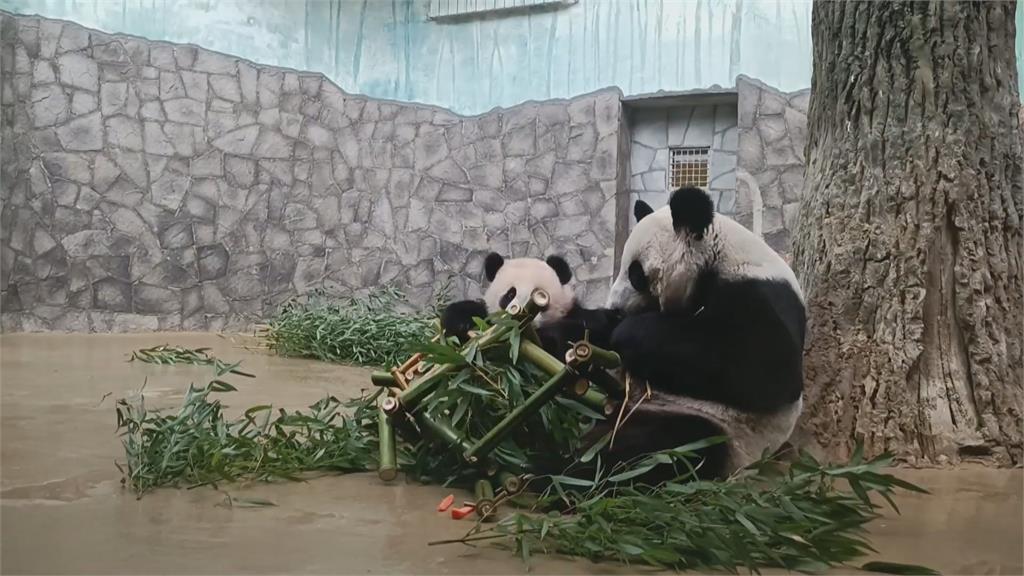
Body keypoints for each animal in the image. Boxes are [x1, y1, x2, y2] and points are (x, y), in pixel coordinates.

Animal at [593, 186, 806, 477]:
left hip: (716, 428)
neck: (718, 257)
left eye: (636, 275)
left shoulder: (760, 292)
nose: (614, 307)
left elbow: (766, 371)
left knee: (660, 445)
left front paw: (627, 332)